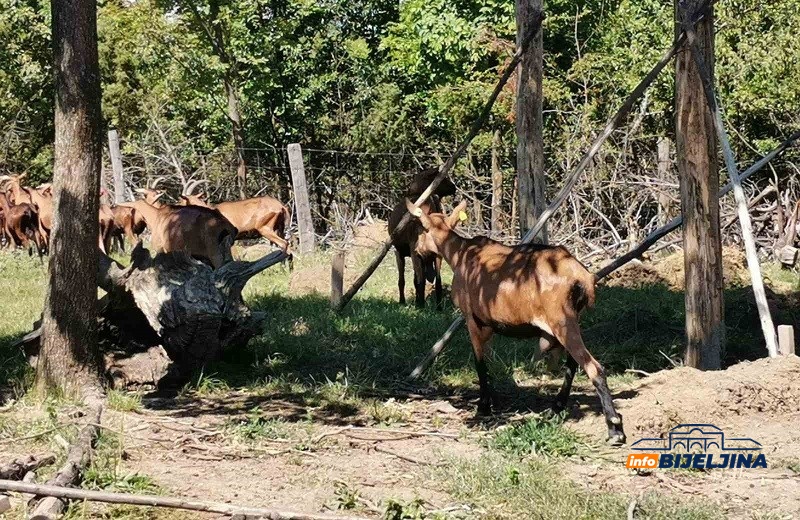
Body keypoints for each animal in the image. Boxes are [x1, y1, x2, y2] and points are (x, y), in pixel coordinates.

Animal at [406, 201, 624, 444]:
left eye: (420, 230)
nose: (417, 249)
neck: (460, 254)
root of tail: (583, 277)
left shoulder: (472, 319)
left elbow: (480, 363)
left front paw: (483, 406)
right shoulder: (489, 324)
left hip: (562, 322)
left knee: (594, 367)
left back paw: (614, 427)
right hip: (573, 320)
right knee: (573, 364)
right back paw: (557, 407)